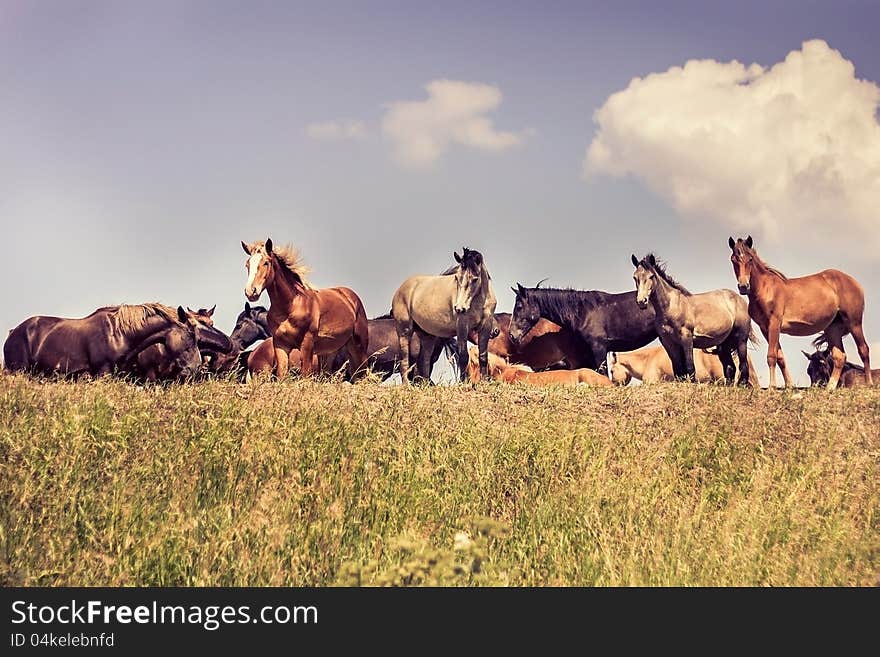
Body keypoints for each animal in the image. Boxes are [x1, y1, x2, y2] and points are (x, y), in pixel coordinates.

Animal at [241, 238, 368, 376]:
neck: (290, 306)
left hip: (359, 348)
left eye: (266, 263)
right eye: (247, 264)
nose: (250, 291)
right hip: (330, 352)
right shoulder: (280, 345)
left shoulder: (307, 344)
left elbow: (305, 375)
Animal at [724, 236, 868, 390]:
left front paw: (772, 387)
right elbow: (780, 357)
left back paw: (869, 383)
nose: (743, 286)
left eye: (750, 259)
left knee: (863, 350)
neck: (765, 289)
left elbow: (771, 356)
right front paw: (789, 386)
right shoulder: (765, 328)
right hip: (833, 328)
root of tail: (855, 283)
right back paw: (830, 387)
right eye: (733, 259)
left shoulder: (774, 323)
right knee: (839, 356)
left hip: (854, 323)